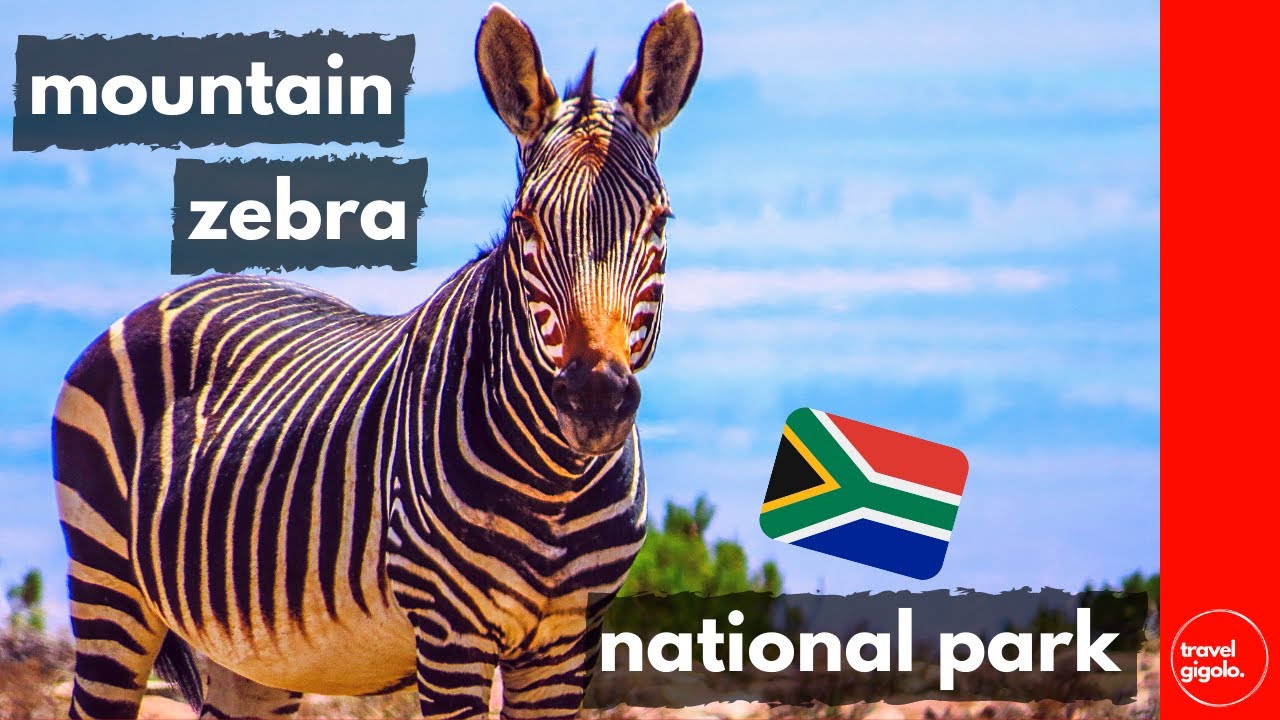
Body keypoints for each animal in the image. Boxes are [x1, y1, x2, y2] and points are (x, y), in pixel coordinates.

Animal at [51, 3, 701, 718]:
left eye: (660, 223)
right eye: (526, 224)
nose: (595, 400)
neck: (558, 481)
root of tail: (168, 295)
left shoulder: (566, 647)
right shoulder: (449, 634)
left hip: (247, 652)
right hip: (108, 585)